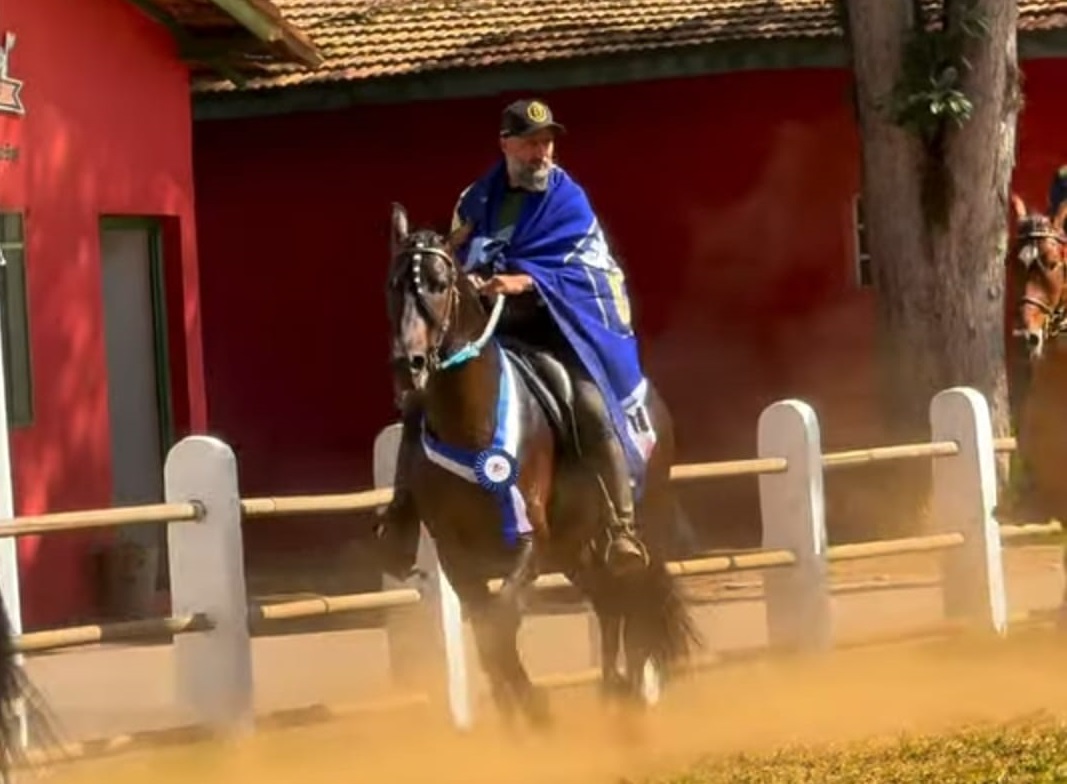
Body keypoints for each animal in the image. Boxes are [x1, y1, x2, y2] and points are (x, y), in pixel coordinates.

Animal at [383, 202, 701, 729]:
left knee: (632, 605)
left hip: (637, 528)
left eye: (438, 282)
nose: (407, 365)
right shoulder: (456, 555)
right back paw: (612, 696)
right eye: (394, 284)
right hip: (576, 549)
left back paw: (629, 709)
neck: (471, 424)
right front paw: (519, 720)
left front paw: (536, 716)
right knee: (608, 603)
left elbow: (500, 625)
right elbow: (490, 638)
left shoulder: (529, 543)